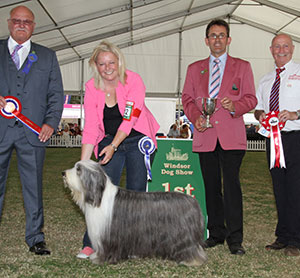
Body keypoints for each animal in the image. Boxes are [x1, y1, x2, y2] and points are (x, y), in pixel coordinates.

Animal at [61, 160, 206, 266]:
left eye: (78, 170)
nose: (63, 173)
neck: (99, 197)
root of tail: (193, 201)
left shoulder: (107, 234)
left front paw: (99, 259)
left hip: (183, 235)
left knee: (190, 248)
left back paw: (191, 260)